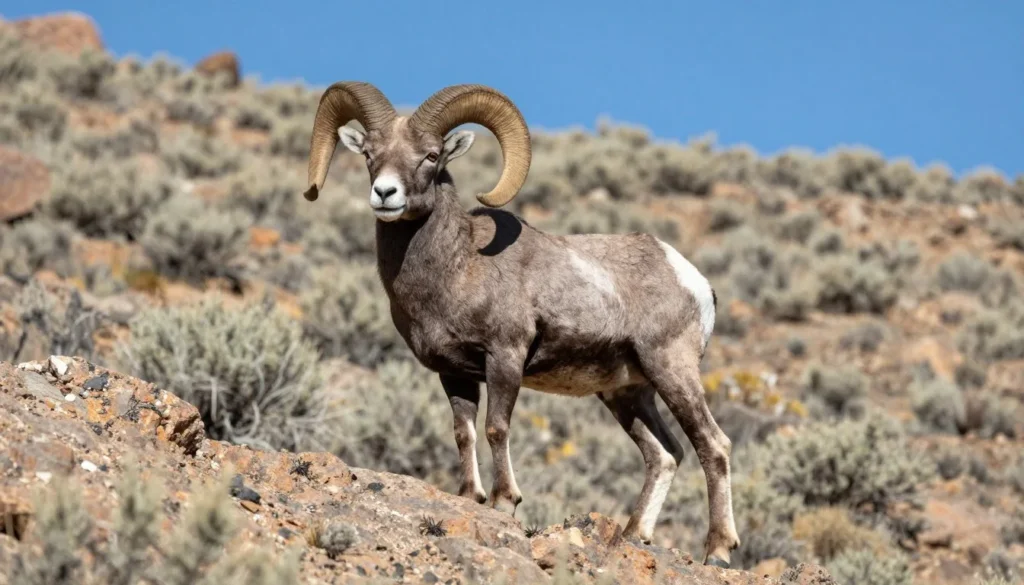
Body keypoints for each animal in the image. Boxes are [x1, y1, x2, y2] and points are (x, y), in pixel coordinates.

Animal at [301, 81, 740, 567]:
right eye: (369, 154)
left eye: (431, 155)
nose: (385, 193)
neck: (461, 266)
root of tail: (693, 280)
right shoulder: (454, 373)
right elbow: (464, 432)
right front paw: (469, 496)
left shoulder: (505, 357)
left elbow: (496, 427)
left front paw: (504, 501)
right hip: (627, 393)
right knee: (665, 455)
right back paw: (634, 534)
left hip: (671, 369)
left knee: (713, 446)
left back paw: (718, 550)